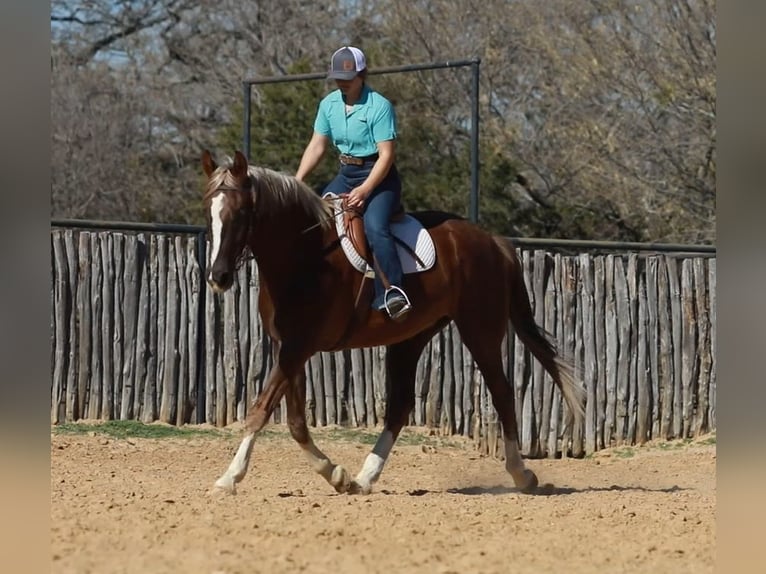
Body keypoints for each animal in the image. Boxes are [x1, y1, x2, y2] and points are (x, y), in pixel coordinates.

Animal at [201, 151, 584, 498]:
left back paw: (522, 474)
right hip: (410, 338)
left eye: (241, 213)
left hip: (481, 332)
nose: (218, 277)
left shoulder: (297, 349)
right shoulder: (289, 348)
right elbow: (295, 423)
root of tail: (493, 241)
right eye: (209, 214)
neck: (305, 255)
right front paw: (336, 475)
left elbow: (260, 410)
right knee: (400, 406)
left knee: (502, 393)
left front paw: (228, 478)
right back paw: (364, 478)